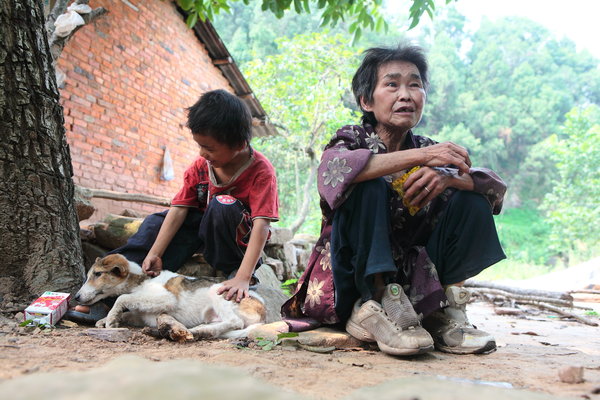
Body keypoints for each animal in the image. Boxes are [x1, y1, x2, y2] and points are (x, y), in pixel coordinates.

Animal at [74, 255, 266, 340]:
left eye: (97, 274)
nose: (76, 297)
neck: (142, 281)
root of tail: (263, 311)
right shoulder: (144, 316)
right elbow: (129, 311)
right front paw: (104, 320)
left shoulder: (166, 298)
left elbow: (121, 298)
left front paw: (111, 319)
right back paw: (202, 329)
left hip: (217, 292)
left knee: (235, 322)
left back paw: (202, 330)